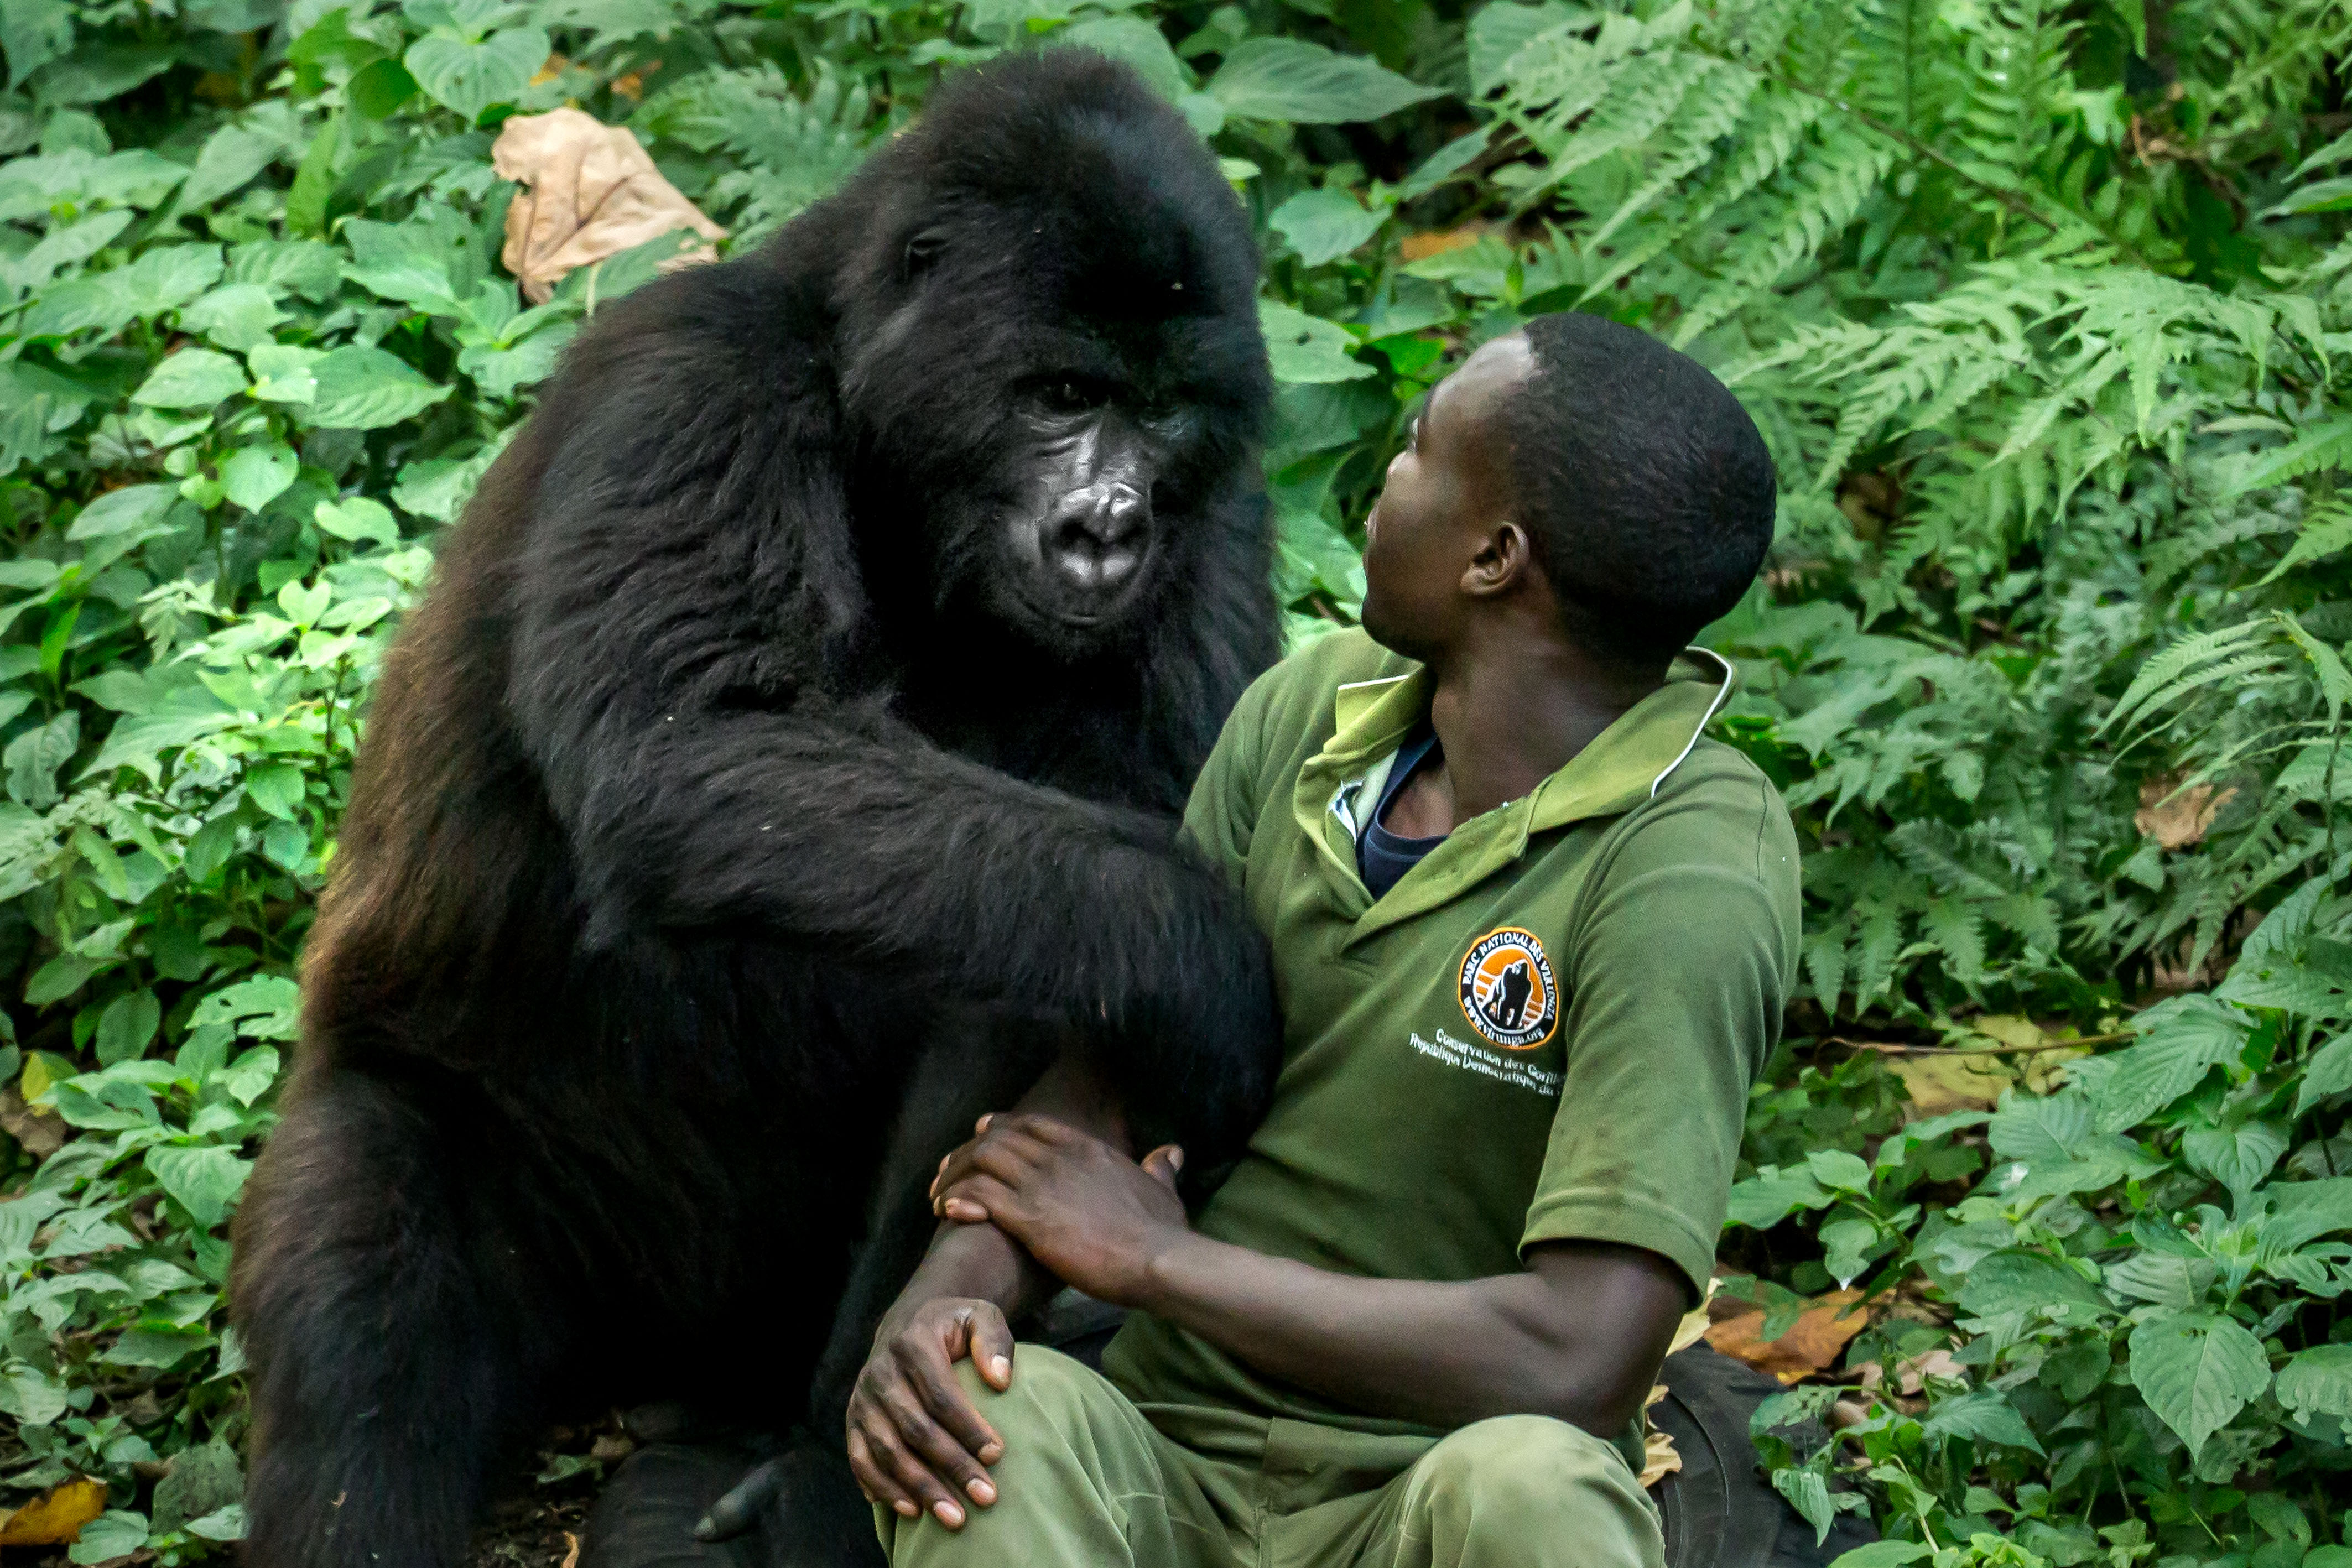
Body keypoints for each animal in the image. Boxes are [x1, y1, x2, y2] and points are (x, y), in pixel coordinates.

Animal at [229, 49, 1279, 1568]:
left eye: (1163, 413)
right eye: (1058, 394)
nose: (1108, 528)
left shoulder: (1222, 509)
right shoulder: (694, 375)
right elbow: (690, 749)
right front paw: (1204, 956)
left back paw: (817, 1479)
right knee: (363, 1313)